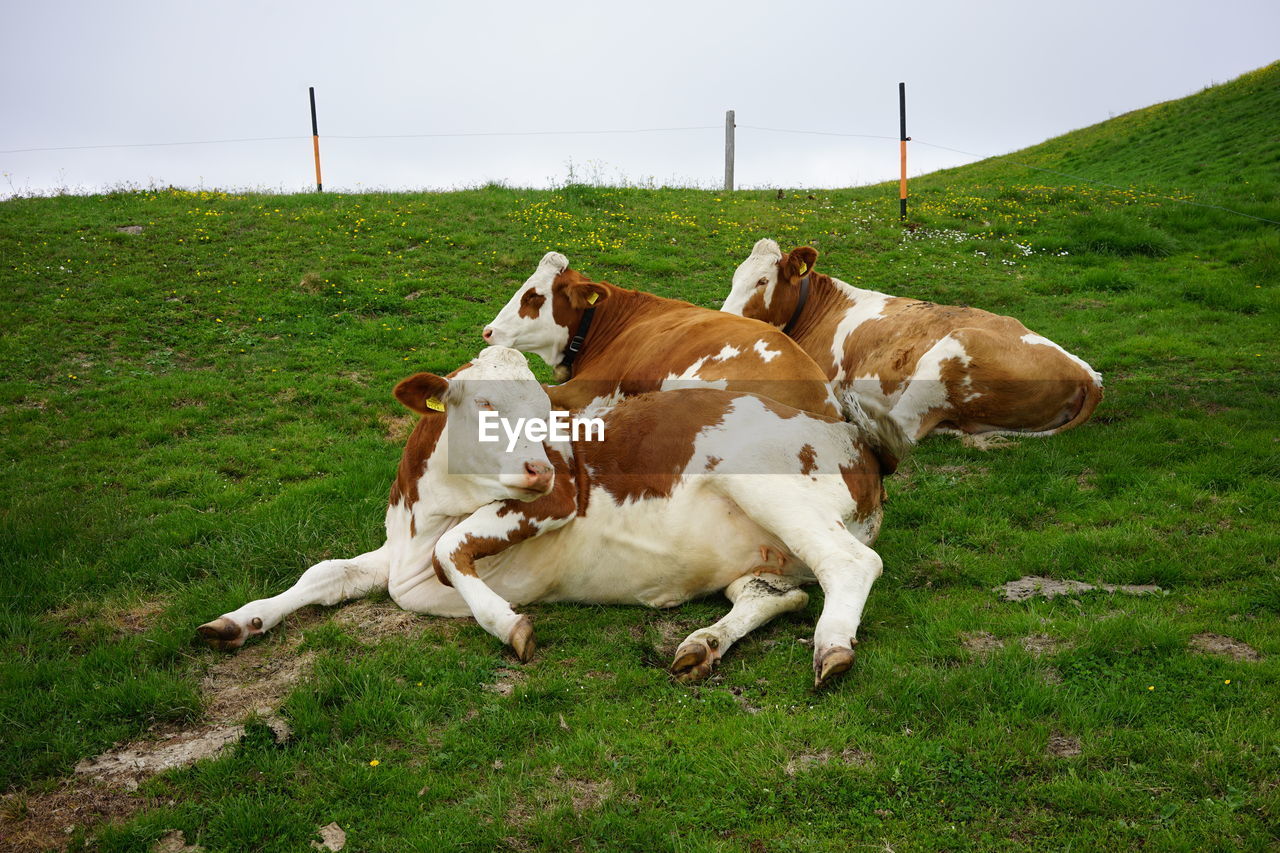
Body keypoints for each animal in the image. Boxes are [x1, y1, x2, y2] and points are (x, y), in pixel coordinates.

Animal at [197, 343, 911, 686]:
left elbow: (452, 550)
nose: (538, 464)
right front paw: (238, 621)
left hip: (768, 486)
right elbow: (324, 573)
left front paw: (507, 624)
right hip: (765, 556)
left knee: (851, 562)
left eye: (545, 410)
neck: (424, 509)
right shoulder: (396, 550)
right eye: (483, 404)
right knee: (775, 594)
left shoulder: (561, 495)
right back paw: (703, 644)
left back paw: (832, 645)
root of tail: (856, 434)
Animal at [727, 235, 1105, 440]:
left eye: (762, 280)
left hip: (945, 359)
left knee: (901, 426)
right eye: (735, 277)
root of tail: (1087, 374)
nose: (726, 318)